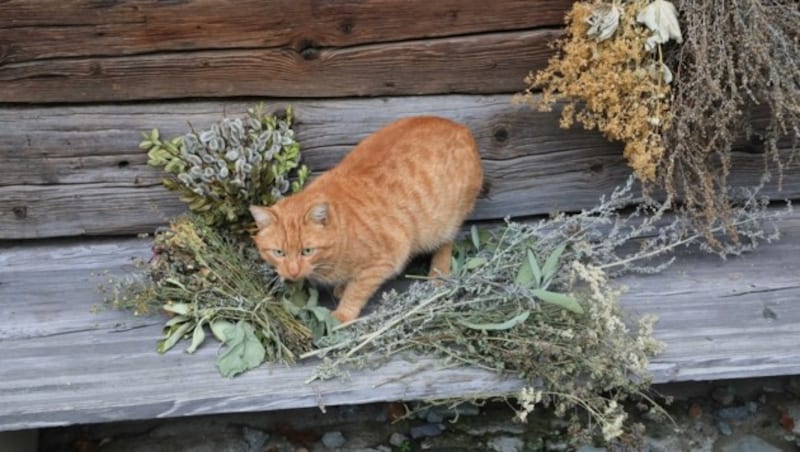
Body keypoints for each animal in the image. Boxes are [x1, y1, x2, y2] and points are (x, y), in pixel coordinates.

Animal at [250, 115, 484, 324]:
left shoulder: (384, 261)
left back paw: (438, 273)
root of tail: (459, 126)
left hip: (446, 221)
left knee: (446, 243)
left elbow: (356, 291)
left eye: (307, 251)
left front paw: (343, 313)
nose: (292, 272)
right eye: (279, 253)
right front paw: (341, 287)